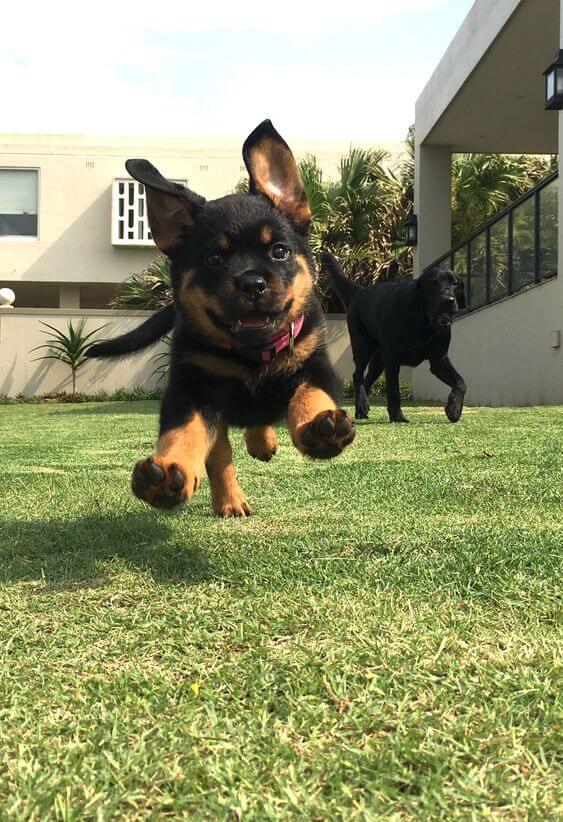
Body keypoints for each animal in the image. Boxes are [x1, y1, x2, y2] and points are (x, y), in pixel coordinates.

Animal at [86, 119, 354, 520]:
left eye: (279, 251)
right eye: (213, 259)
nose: (252, 283)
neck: (251, 356)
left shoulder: (314, 362)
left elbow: (311, 395)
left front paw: (323, 430)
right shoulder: (193, 387)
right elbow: (186, 434)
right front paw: (169, 474)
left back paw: (263, 443)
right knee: (221, 454)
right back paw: (230, 500)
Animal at [322, 254, 468, 424]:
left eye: (455, 283)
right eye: (434, 283)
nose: (449, 300)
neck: (423, 321)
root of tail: (361, 290)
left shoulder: (439, 360)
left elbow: (461, 382)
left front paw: (454, 409)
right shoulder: (392, 360)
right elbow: (393, 391)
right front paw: (397, 416)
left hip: (378, 361)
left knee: (367, 379)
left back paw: (363, 408)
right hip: (362, 348)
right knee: (357, 376)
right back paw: (360, 409)